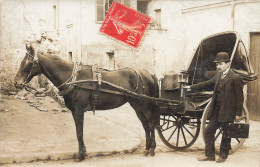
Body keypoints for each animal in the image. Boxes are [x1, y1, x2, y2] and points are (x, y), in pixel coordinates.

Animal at [14, 42, 160, 161]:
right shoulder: (75, 111)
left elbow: (79, 133)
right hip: (137, 106)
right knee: (146, 126)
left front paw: (81, 155)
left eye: (27, 64)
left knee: (150, 124)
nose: (16, 83)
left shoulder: (78, 110)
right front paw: (82, 153)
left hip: (145, 105)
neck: (73, 79)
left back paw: (152, 149)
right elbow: (78, 132)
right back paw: (147, 149)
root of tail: (149, 74)